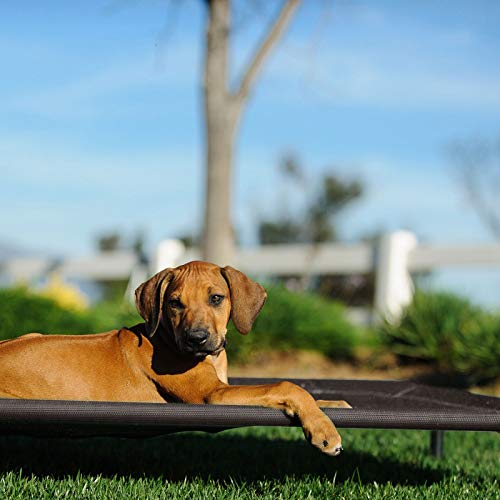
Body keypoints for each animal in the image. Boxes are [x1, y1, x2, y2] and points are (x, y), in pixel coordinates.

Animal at [0, 262, 348, 458]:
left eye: (216, 298)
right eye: (174, 303)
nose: (196, 338)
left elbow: (295, 393)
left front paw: (330, 405)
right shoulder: (214, 396)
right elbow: (287, 385)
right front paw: (324, 430)